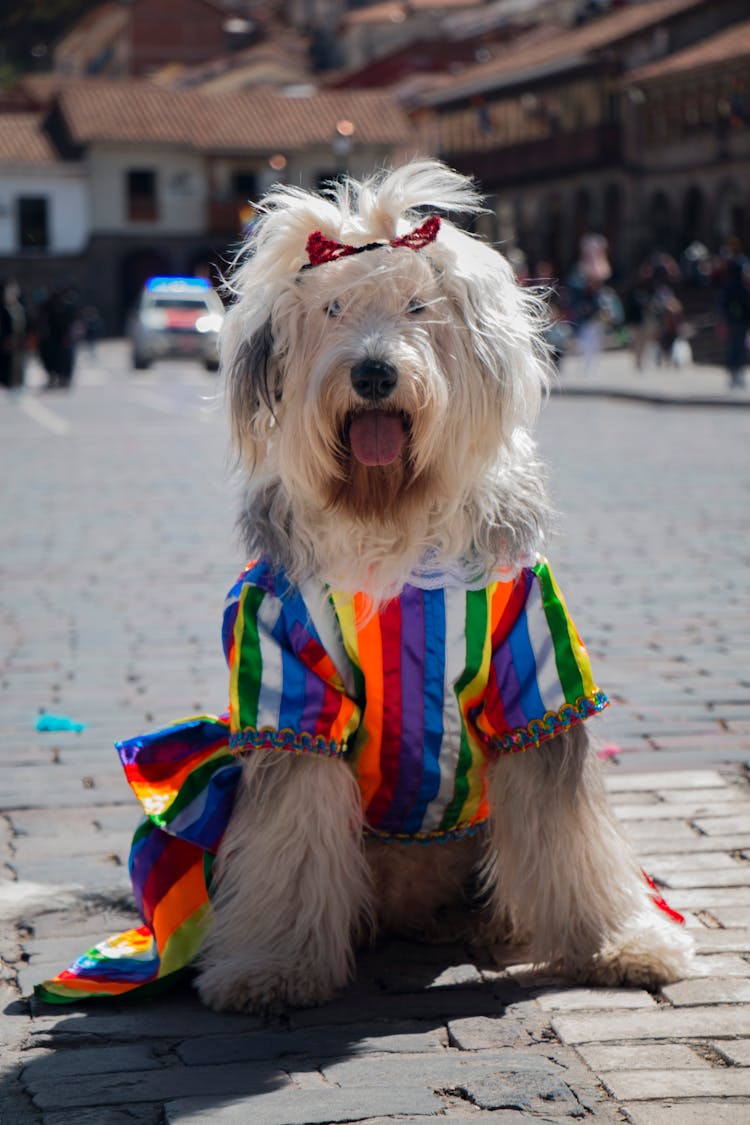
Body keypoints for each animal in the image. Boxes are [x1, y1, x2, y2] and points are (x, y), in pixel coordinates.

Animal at [193, 163, 692, 1017]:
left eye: (418, 307)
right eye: (332, 308)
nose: (373, 373)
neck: (393, 526)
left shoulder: (537, 677)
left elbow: (569, 834)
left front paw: (618, 943)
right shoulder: (288, 686)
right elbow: (289, 841)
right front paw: (272, 965)